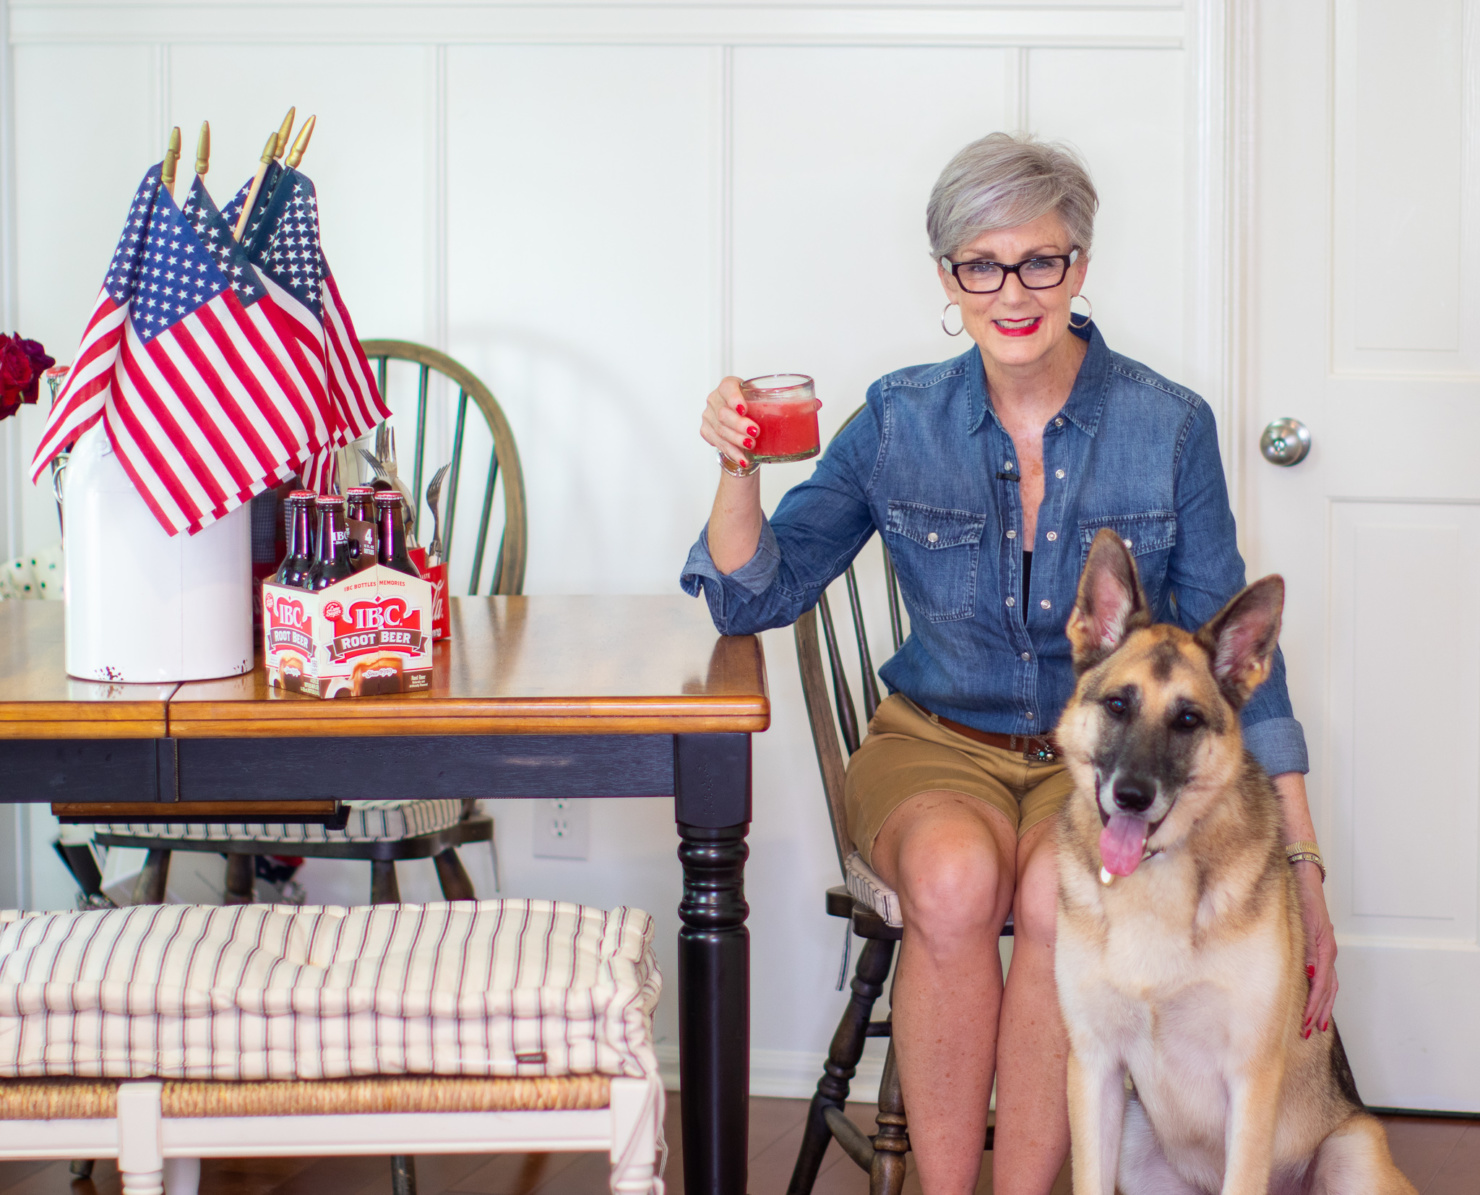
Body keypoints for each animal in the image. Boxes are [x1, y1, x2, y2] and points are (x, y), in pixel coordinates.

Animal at [1053, 533, 1408, 1195]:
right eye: (1117, 705)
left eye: (1188, 720)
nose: (1131, 796)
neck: (1156, 885)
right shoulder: (1094, 1070)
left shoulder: (1249, 1079)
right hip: (1135, 1142)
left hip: (1351, 1152)